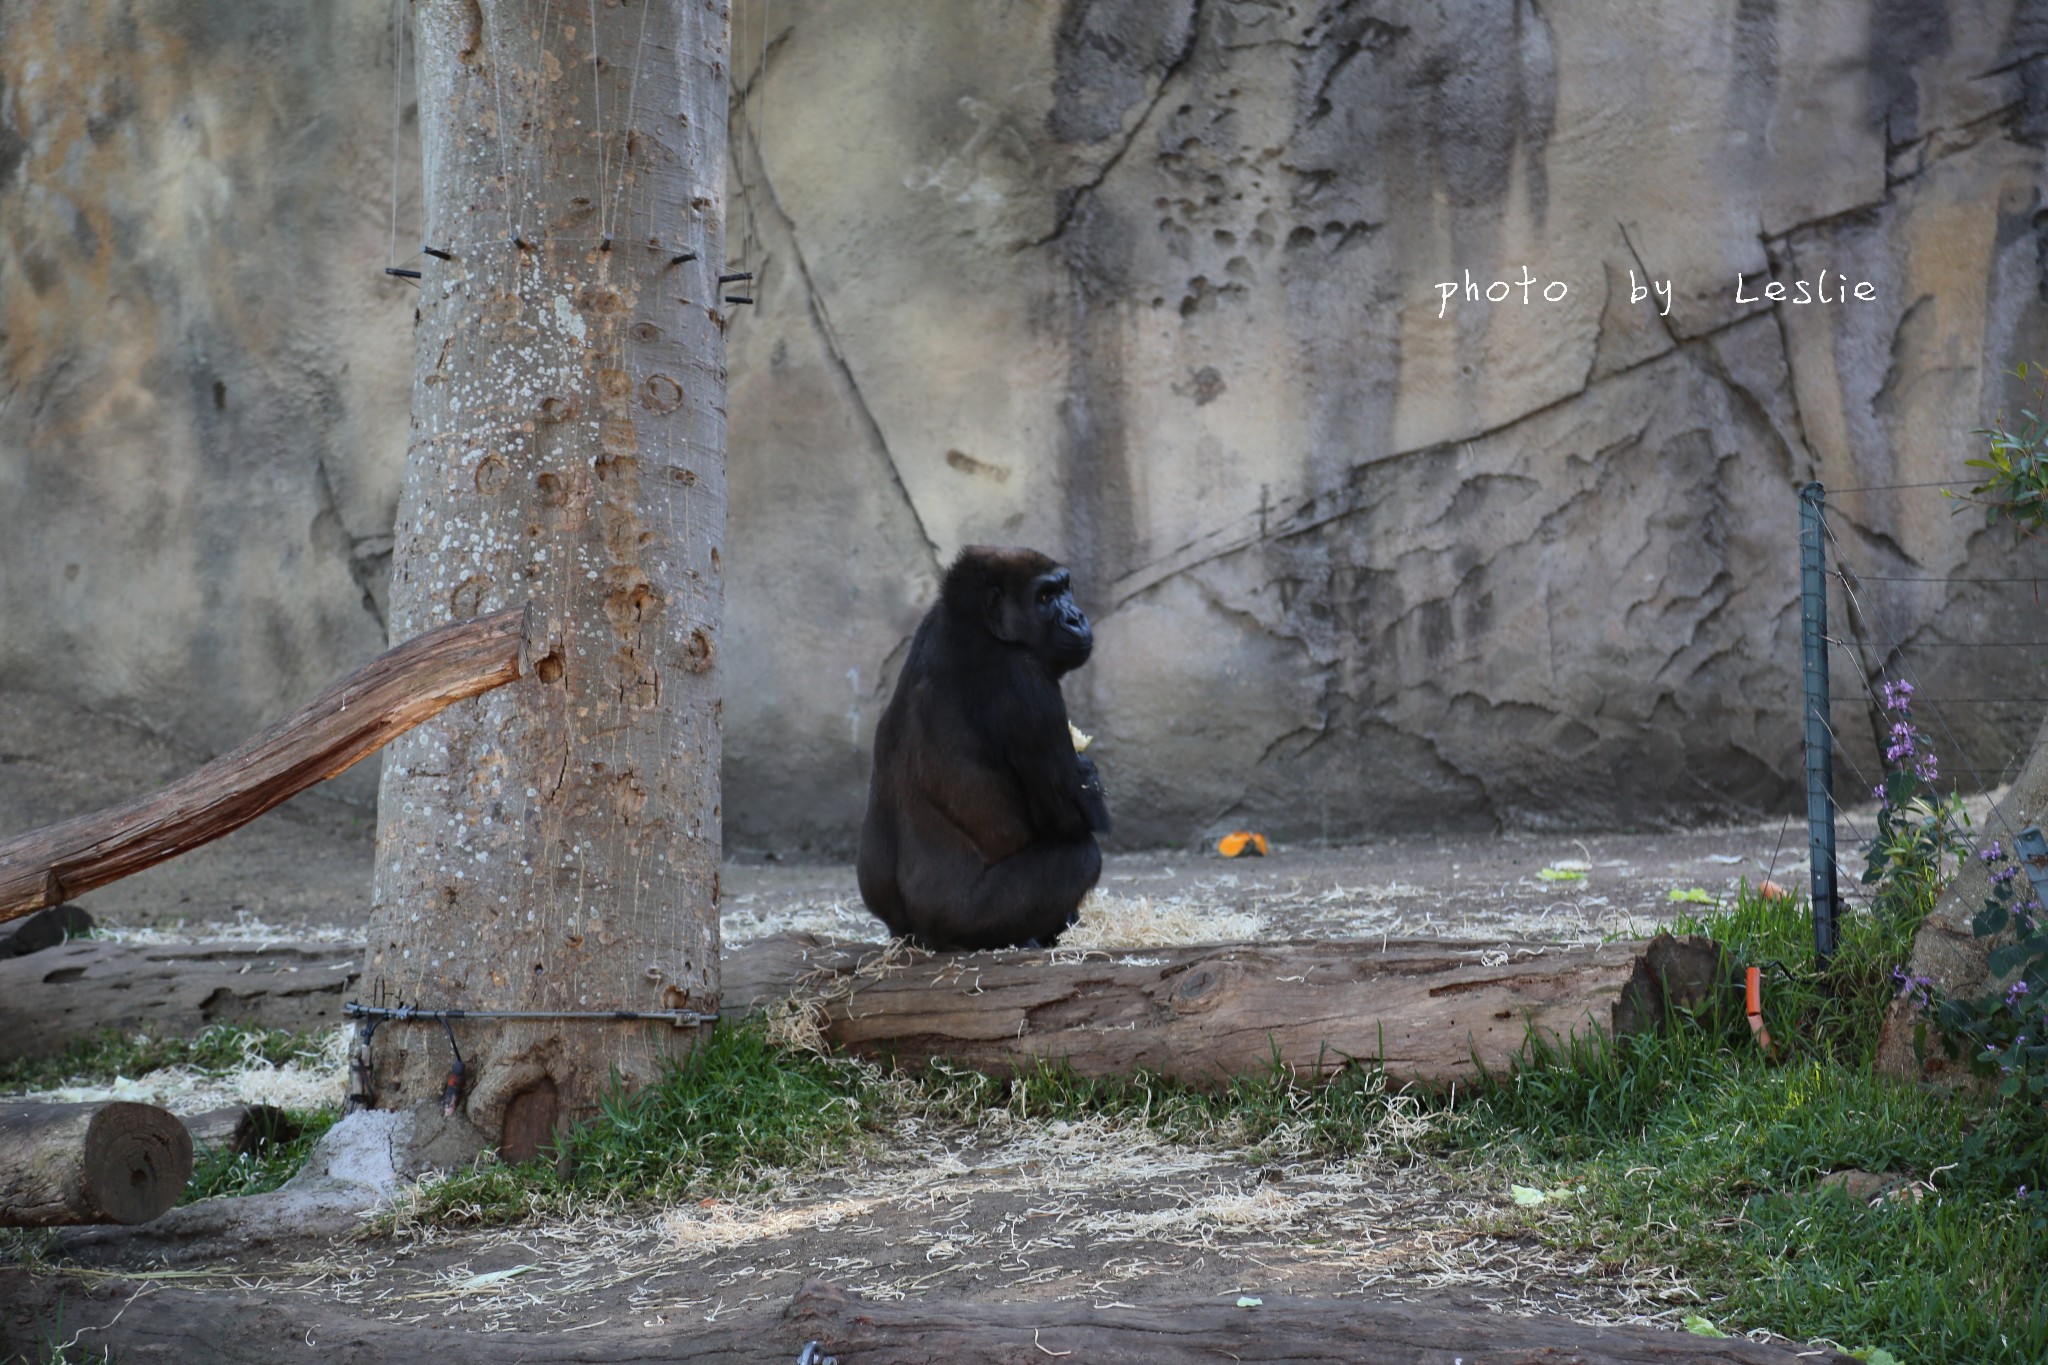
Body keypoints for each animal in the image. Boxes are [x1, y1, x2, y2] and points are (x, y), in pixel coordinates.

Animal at [856, 544, 1114, 949]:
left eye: (1064, 588)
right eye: (1044, 597)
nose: (1075, 618)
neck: (979, 625)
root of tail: (914, 938)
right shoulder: (1025, 677)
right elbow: (1075, 814)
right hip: (961, 926)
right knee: (1082, 855)